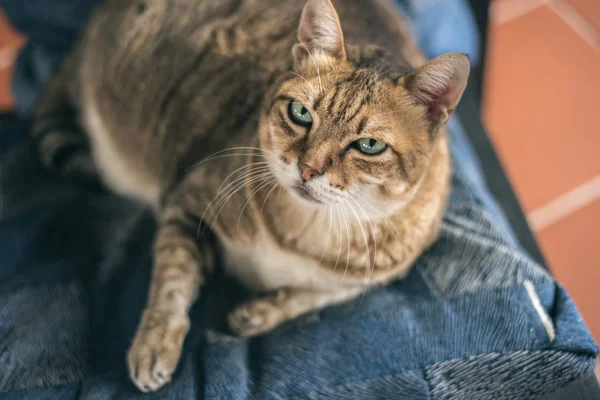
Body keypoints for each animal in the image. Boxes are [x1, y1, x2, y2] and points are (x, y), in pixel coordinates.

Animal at [31, 0, 468, 392]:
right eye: (301, 113)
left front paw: (258, 313)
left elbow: (312, 296)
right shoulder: (188, 201)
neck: (303, 235)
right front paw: (154, 345)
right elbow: (172, 283)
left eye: (369, 145)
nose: (307, 168)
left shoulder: (380, 275)